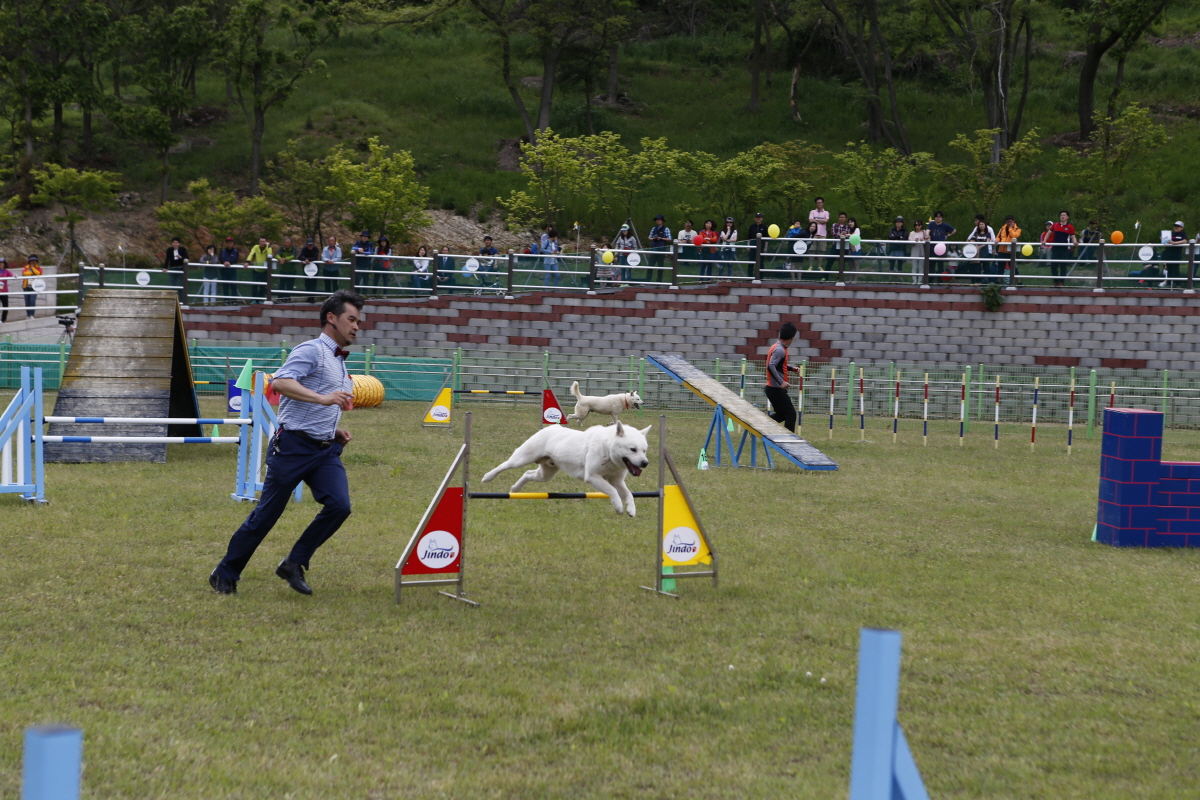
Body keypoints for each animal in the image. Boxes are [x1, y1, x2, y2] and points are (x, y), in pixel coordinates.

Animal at [480, 422, 652, 515]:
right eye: (632, 449)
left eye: (644, 450)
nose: (645, 463)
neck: (608, 451)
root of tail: (549, 428)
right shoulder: (593, 477)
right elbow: (612, 491)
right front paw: (618, 507)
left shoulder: (616, 480)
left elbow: (628, 494)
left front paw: (631, 510)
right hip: (522, 458)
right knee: (505, 465)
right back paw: (487, 477)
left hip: (546, 474)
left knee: (528, 473)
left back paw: (515, 490)